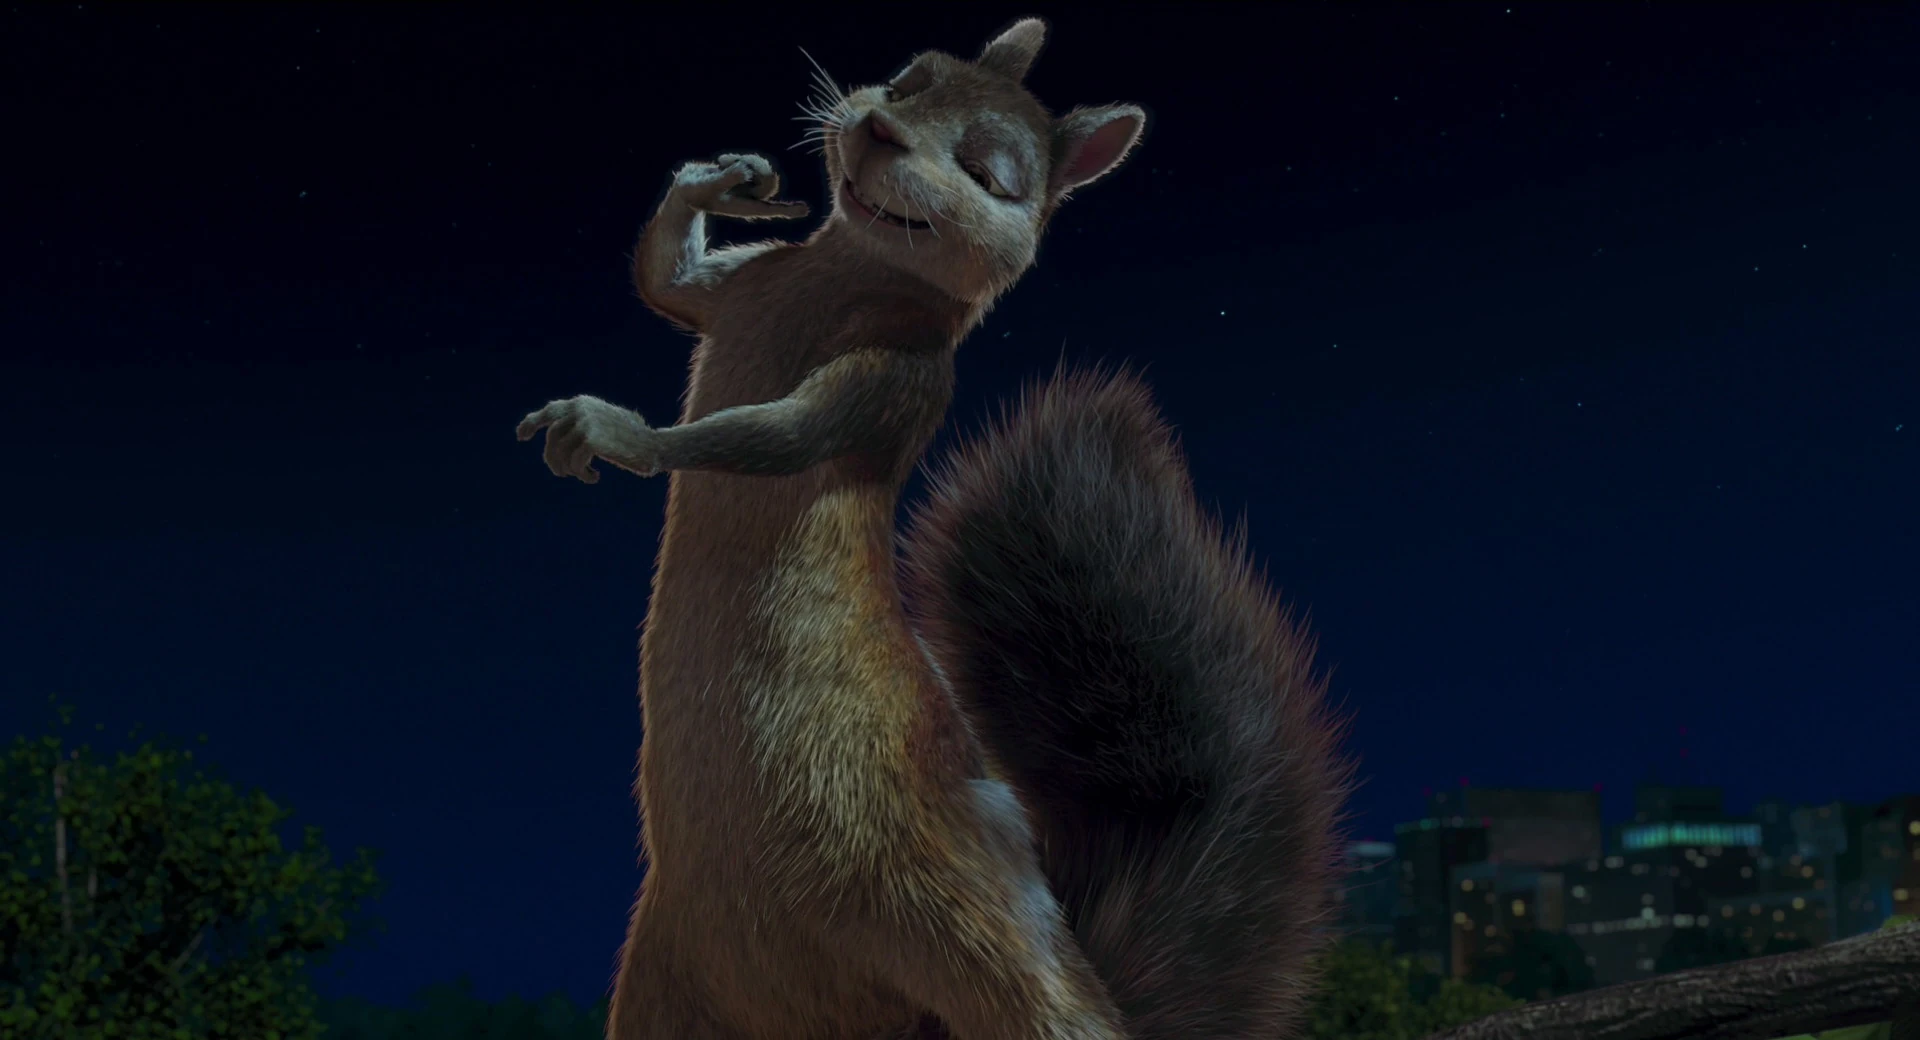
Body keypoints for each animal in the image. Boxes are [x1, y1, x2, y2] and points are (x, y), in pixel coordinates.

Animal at [516, 17, 1351, 1040]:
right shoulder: (739, 286)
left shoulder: (900, 381)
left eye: (991, 175)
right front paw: (721, 178)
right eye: (910, 78)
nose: (875, 129)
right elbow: (663, 279)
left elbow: (782, 436)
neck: (846, 269)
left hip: (960, 919)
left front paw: (617, 430)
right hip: (668, 984)